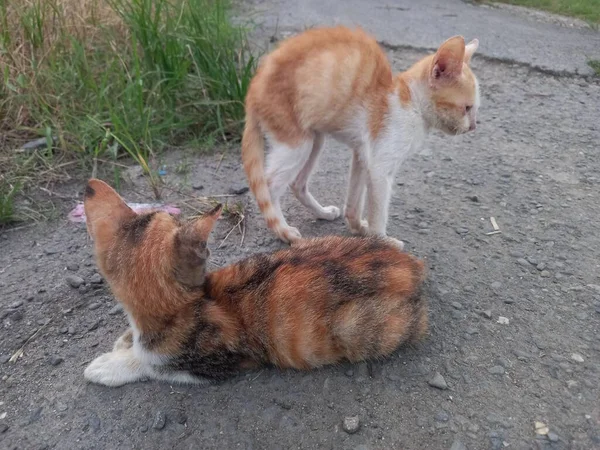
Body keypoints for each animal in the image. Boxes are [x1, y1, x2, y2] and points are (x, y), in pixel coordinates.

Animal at [82, 179, 426, 386]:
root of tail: (413, 267)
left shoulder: (219, 362)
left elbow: (153, 365)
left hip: (357, 327)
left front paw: (112, 364)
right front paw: (125, 341)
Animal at [241, 25, 480, 246]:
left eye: (475, 109)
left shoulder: (362, 155)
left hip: (315, 140)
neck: (410, 104)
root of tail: (252, 91)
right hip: (297, 143)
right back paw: (283, 231)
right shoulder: (380, 168)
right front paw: (381, 240)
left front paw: (358, 228)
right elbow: (378, 211)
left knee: (297, 184)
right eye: (467, 108)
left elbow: (354, 201)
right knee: (269, 186)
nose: (473, 127)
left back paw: (322, 213)